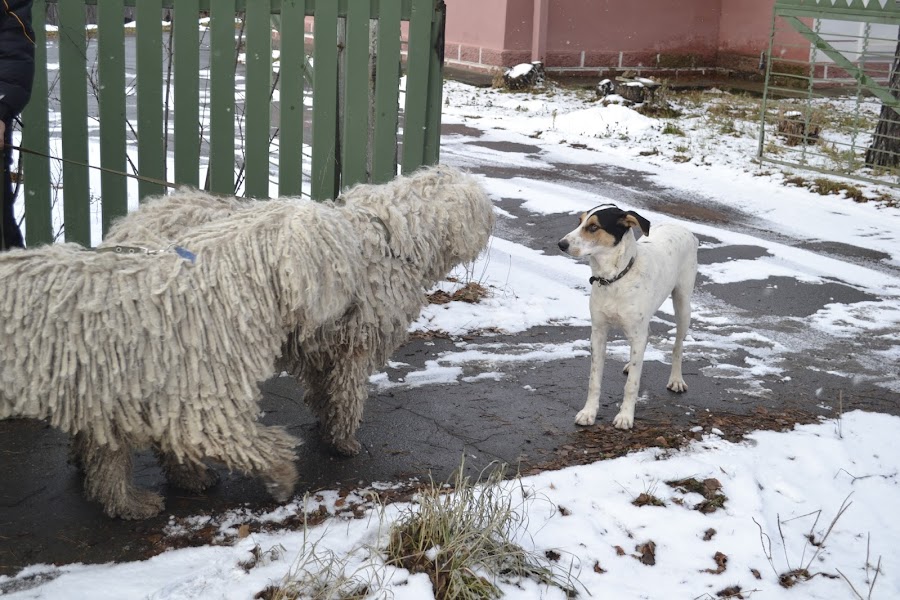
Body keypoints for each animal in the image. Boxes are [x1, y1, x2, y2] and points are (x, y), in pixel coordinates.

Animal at [560, 204, 700, 428]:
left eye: (593, 227)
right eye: (579, 221)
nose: (561, 244)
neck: (614, 279)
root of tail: (681, 227)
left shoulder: (637, 334)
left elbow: (631, 384)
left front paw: (625, 416)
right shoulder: (598, 333)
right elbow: (594, 380)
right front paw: (589, 412)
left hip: (683, 305)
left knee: (677, 346)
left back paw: (676, 380)